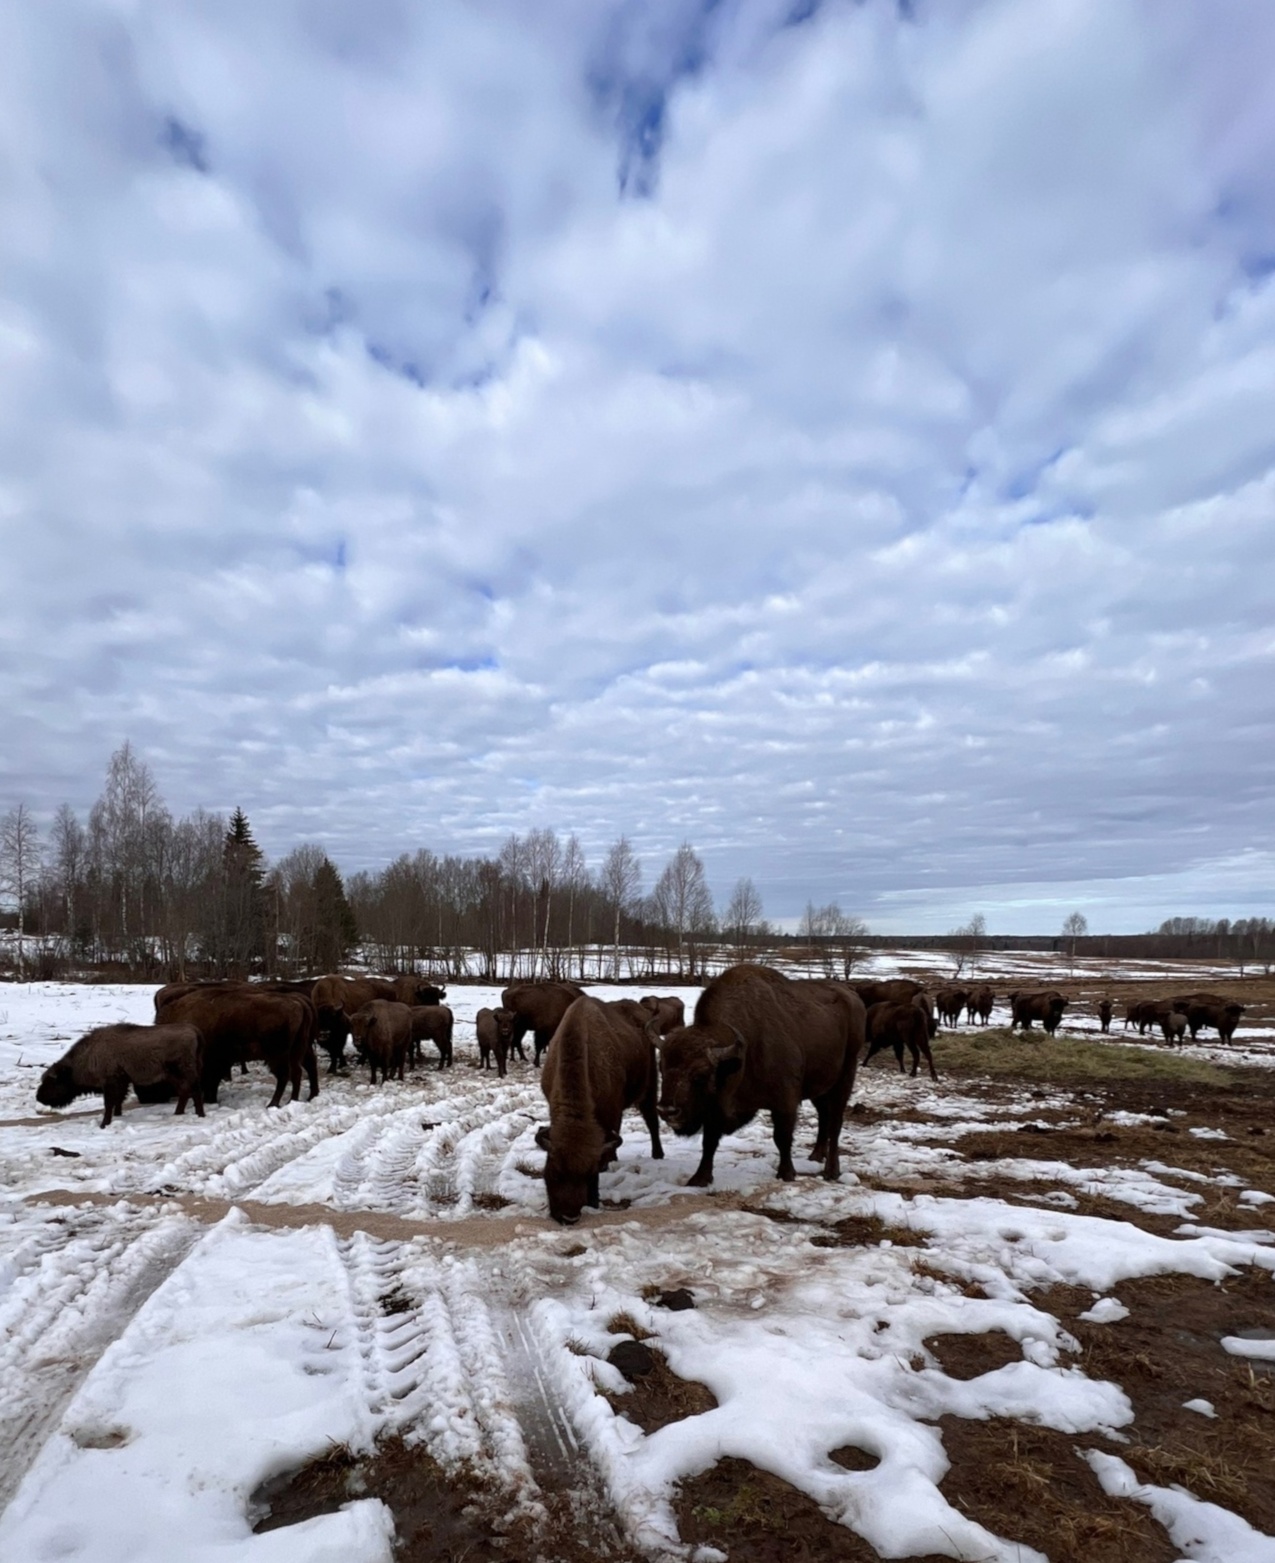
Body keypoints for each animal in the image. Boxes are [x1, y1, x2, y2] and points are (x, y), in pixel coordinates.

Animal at [36, 1019, 204, 1131]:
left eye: (52, 1081)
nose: (38, 1097)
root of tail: (193, 1031)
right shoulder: (122, 1081)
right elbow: (118, 1101)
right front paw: (117, 1116)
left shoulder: (111, 1081)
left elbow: (110, 1103)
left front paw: (104, 1124)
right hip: (172, 1075)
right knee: (185, 1091)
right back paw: (178, 1113)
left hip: (183, 1071)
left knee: (193, 1090)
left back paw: (199, 1114)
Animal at [155, 981, 317, 1106]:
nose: (155, 1098)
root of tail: (298, 1002)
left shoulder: (214, 1062)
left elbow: (211, 1081)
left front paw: (208, 1100)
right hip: (297, 1050)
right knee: (299, 1071)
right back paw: (296, 1100)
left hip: (277, 1055)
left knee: (285, 1075)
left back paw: (273, 1104)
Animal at [534, 1000, 662, 1219]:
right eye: (554, 1172)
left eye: (588, 1174)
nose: (569, 1216)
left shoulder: (611, 1113)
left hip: (649, 1086)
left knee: (652, 1119)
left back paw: (657, 1155)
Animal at [656, 962, 868, 1181]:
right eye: (661, 1068)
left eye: (700, 1074)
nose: (667, 1111)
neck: (743, 1052)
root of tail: (852, 996)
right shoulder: (715, 1110)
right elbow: (709, 1141)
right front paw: (700, 1178)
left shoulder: (785, 1102)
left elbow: (782, 1137)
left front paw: (786, 1173)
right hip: (819, 1086)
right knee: (824, 1116)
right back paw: (816, 1155)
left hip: (845, 1076)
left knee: (835, 1121)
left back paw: (831, 1171)